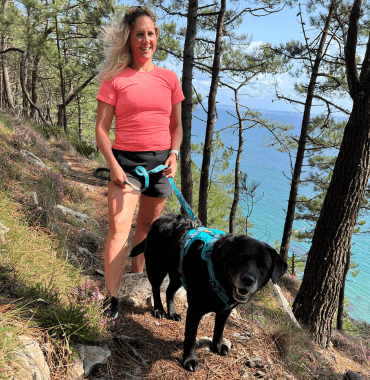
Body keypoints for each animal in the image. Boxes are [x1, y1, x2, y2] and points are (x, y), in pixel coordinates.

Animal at [130, 214, 290, 372]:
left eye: (263, 266)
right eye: (239, 258)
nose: (248, 279)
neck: (218, 277)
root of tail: (161, 218)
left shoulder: (225, 311)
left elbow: (219, 330)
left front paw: (217, 346)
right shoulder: (195, 311)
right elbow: (191, 338)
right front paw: (189, 360)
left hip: (179, 275)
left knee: (169, 291)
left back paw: (172, 313)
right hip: (156, 267)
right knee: (156, 288)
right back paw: (159, 309)